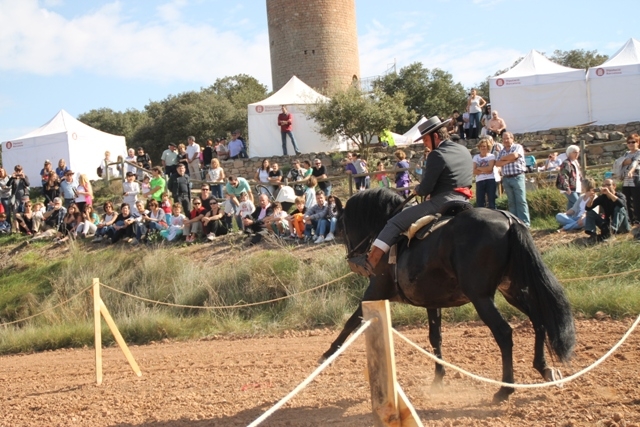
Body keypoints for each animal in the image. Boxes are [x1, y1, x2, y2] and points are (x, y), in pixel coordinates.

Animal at [322, 189, 576, 402]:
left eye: (341, 226)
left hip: (481, 297)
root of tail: (507, 218)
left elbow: (351, 321)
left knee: (504, 333)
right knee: (539, 320)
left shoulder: (375, 291)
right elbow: (435, 337)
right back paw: (544, 368)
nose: (354, 259)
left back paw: (505, 389)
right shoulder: (431, 301)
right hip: (512, 290)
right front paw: (438, 378)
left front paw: (327, 355)